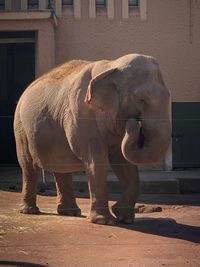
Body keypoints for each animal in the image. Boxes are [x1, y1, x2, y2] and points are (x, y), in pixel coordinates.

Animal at [13, 53, 171, 225]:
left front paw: (124, 218)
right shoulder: (82, 115)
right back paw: (29, 211)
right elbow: (96, 160)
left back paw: (70, 213)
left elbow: (122, 161)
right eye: (140, 99)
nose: (134, 123)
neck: (111, 66)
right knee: (28, 166)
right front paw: (104, 221)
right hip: (20, 128)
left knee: (60, 166)